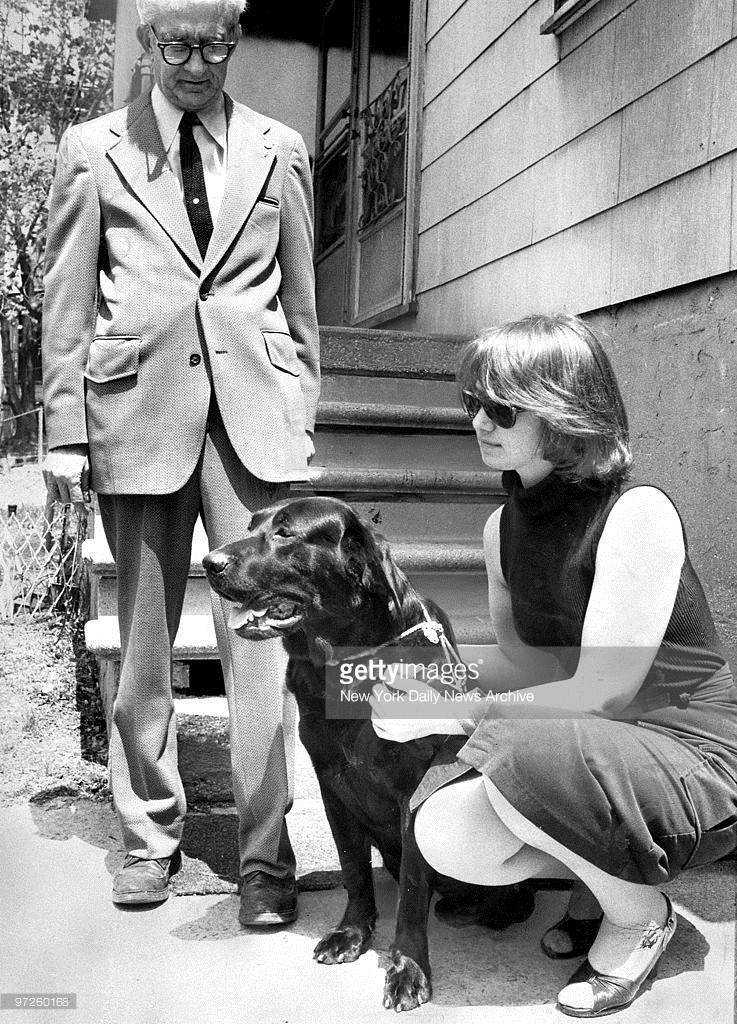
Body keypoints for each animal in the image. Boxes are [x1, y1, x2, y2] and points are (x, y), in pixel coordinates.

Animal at [203, 495, 534, 1011]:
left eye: (285, 533)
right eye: (251, 525)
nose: (208, 562)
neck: (346, 659)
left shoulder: (416, 789)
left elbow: (413, 892)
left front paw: (408, 968)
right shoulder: (333, 784)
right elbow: (354, 868)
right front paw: (352, 933)